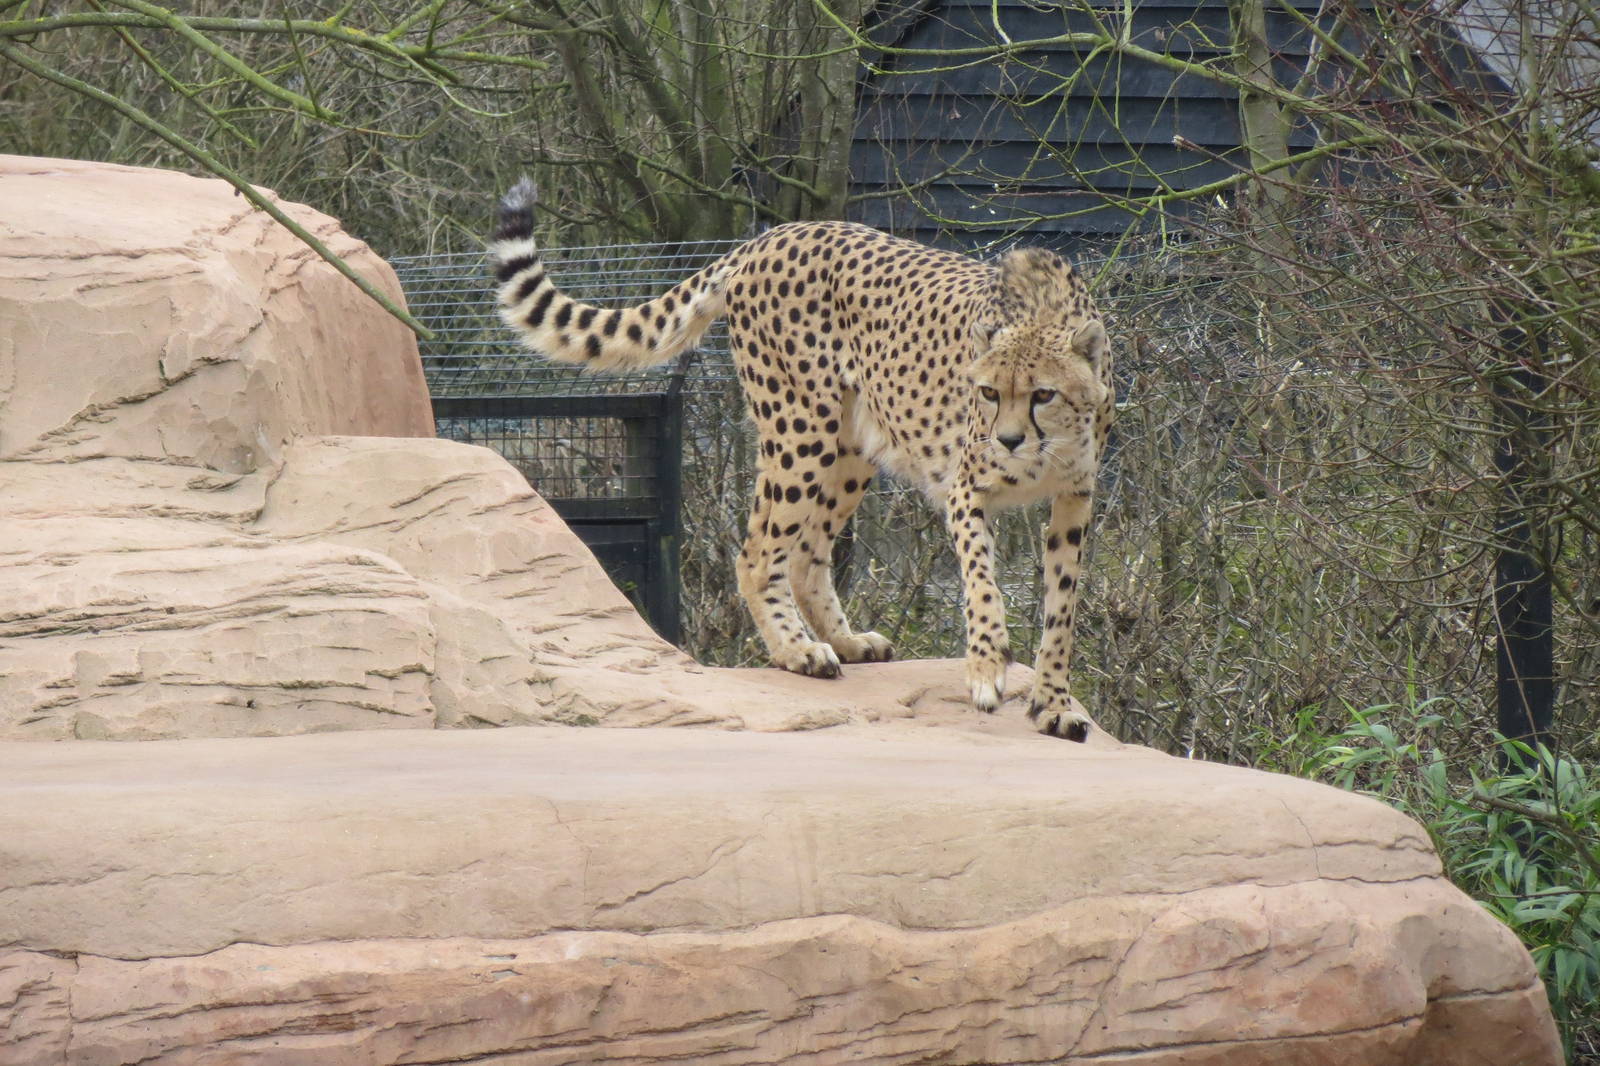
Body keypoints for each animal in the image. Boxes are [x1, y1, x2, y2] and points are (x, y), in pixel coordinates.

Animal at [488, 180, 1114, 740]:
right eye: (987, 392)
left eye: (1042, 394)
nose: (1006, 441)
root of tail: (773, 234)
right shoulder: (967, 489)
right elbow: (983, 585)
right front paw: (986, 669)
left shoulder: (1075, 499)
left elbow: (1062, 608)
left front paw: (1054, 704)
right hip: (800, 430)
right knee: (758, 551)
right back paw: (797, 651)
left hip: (851, 447)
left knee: (807, 551)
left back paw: (845, 641)